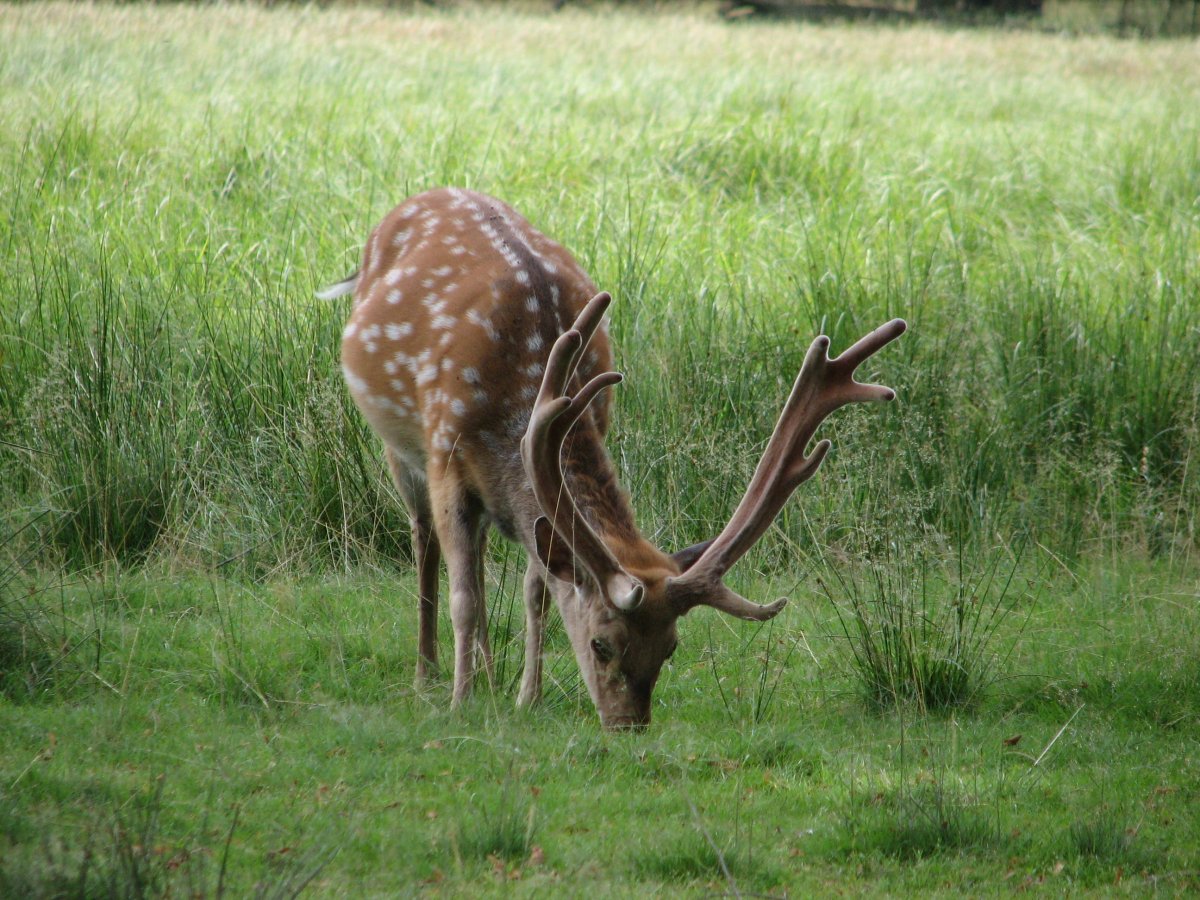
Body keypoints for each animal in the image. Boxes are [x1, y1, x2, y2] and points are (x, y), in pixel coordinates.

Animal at [325, 188, 905, 730]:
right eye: (601, 644)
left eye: (670, 648)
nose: (629, 725)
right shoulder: (446, 451)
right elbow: (463, 595)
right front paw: (459, 704)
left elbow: (536, 588)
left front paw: (526, 698)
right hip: (400, 447)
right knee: (424, 542)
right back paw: (429, 676)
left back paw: (489, 676)